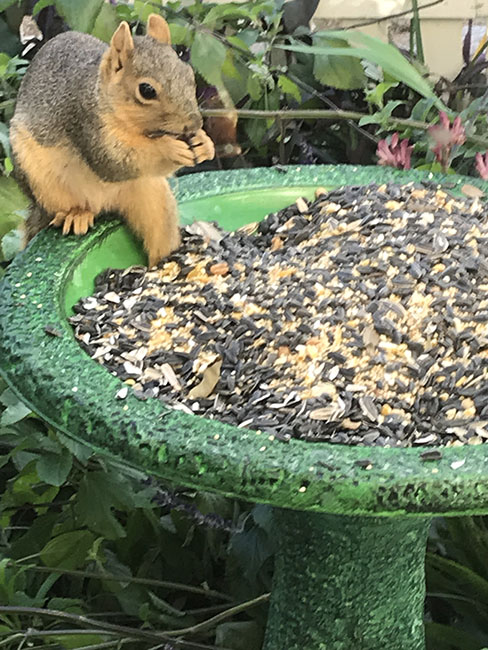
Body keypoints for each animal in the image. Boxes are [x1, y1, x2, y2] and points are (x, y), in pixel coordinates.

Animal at [9, 11, 215, 264]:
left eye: (189, 75)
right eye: (146, 90)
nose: (194, 124)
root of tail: (104, 204)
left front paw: (205, 144)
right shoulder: (86, 123)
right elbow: (113, 162)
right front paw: (168, 148)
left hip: (152, 195)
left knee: (159, 230)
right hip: (41, 182)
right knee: (66, 208)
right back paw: (77, 214)